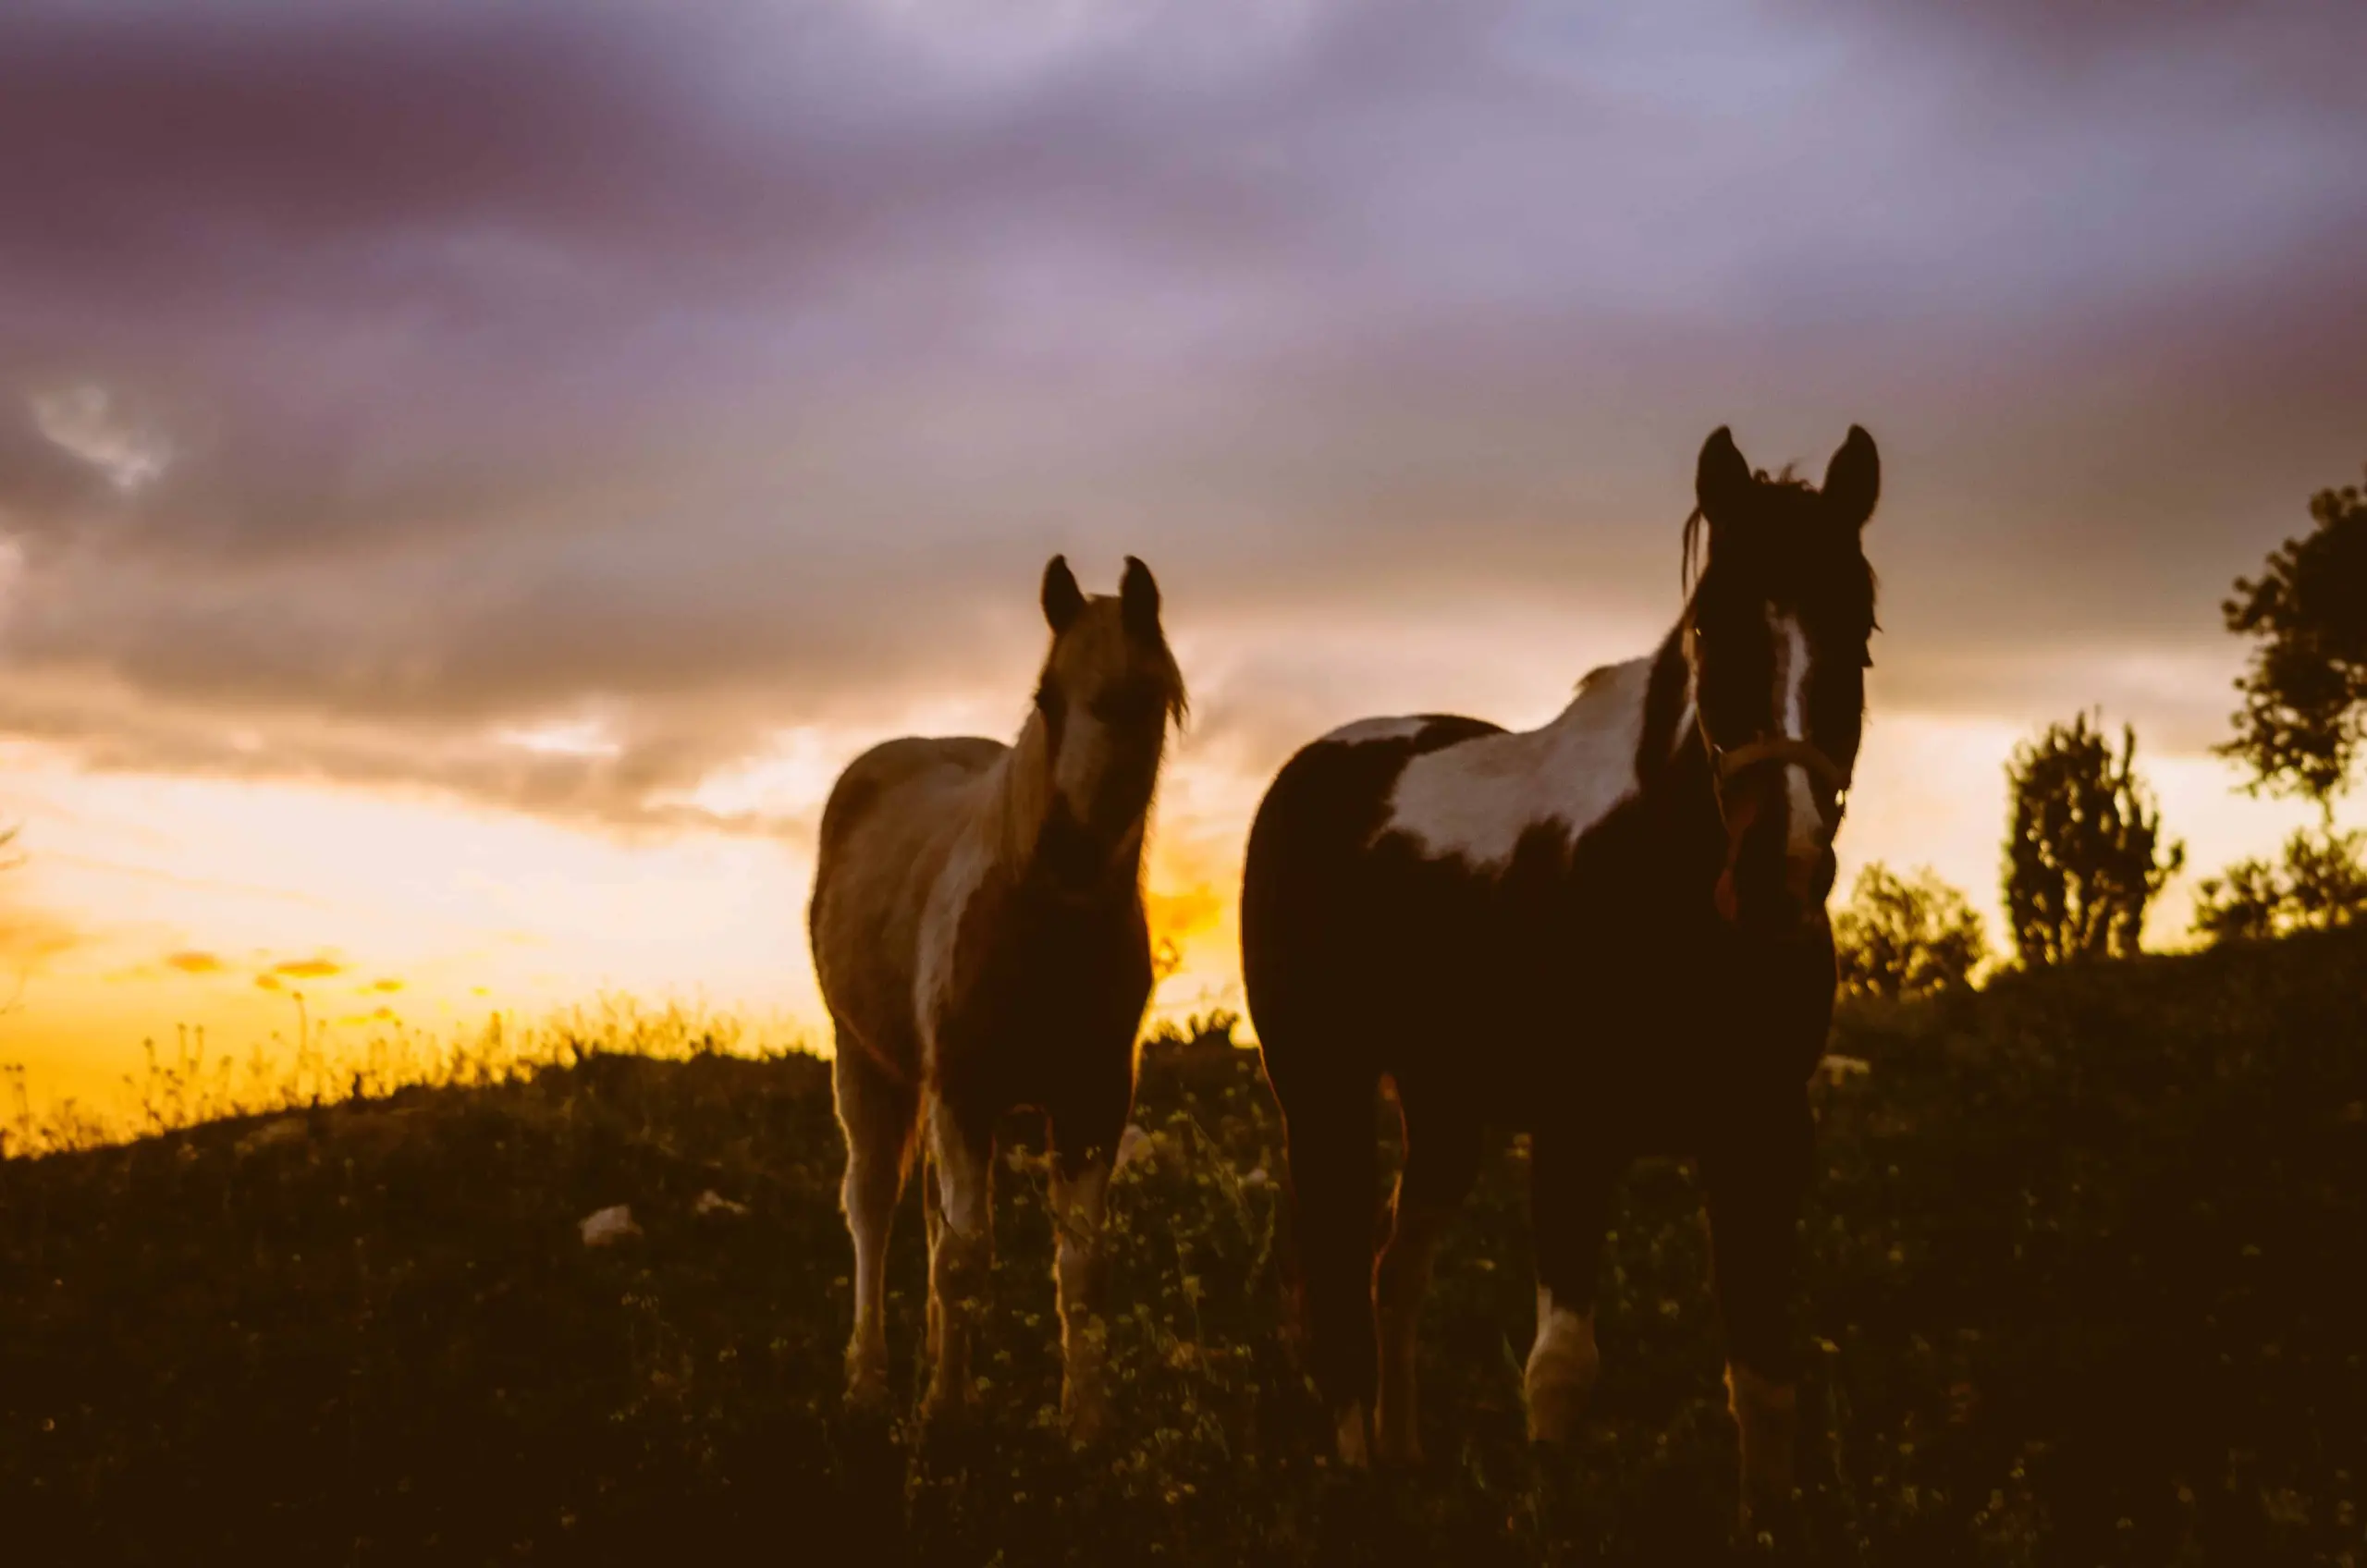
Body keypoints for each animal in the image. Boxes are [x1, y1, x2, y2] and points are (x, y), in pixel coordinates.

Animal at [810, 555, 1187, 1439]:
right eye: (1047, 697)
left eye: (1143, 700)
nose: (1068, 850)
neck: (1042, 925)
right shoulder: (963, 1092)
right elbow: (963, 1260)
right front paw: (947, 1418)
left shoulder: (1091, 1103)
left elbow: (1079, 1267)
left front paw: (1086, 1423)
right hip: (866, 1063)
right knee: (872, 1208)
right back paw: (870, 1384)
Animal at [1240, 426, 1879, 1529]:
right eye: (1708, 626)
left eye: (1861, 629)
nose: (1778, 870)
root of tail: (1310, 770)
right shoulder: (1575, 1138)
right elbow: (1561, 1373)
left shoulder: (1760, 1141)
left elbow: (1762, 1378)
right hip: (1320, 1092)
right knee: (1338, 1279)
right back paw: (1360, 1471)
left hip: (1444, 1114)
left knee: (1390, 1274)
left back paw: (1405, 1458)